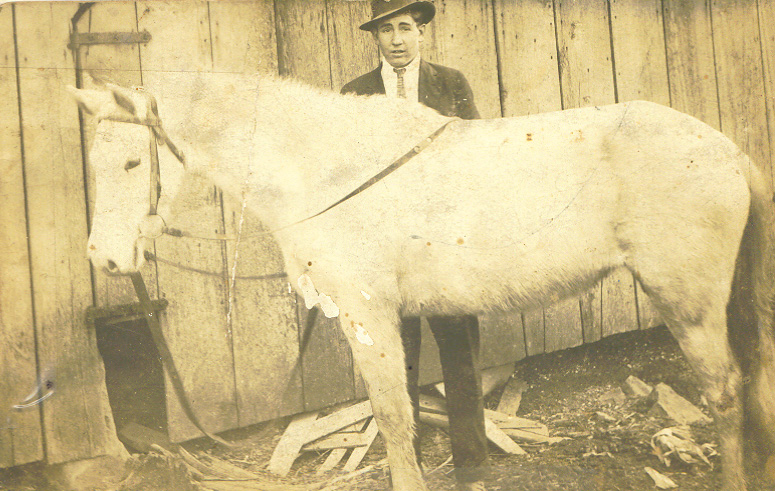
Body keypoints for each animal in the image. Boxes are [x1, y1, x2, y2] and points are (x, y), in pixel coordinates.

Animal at [69, 71, 775, 491]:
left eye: (131, 162)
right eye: (93, 163)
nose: (104, 258)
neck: (328, 170)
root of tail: (727, 151)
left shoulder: (366, 315)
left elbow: (391, 414)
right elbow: (401, 410)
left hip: (690, 306)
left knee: (726, 392)